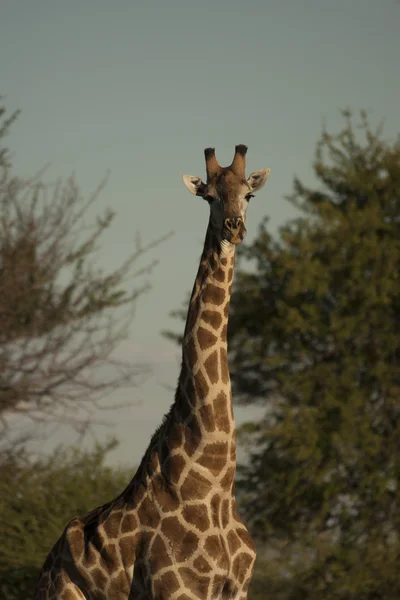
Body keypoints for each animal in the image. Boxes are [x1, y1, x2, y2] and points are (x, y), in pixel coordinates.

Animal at [36, 145, 270, 600]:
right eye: (209, 197)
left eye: (248, 195)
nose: (234, 228)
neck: (215, 476)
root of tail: (45, 569)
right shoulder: (175, 588)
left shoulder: (238, 588)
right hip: (63, 595)